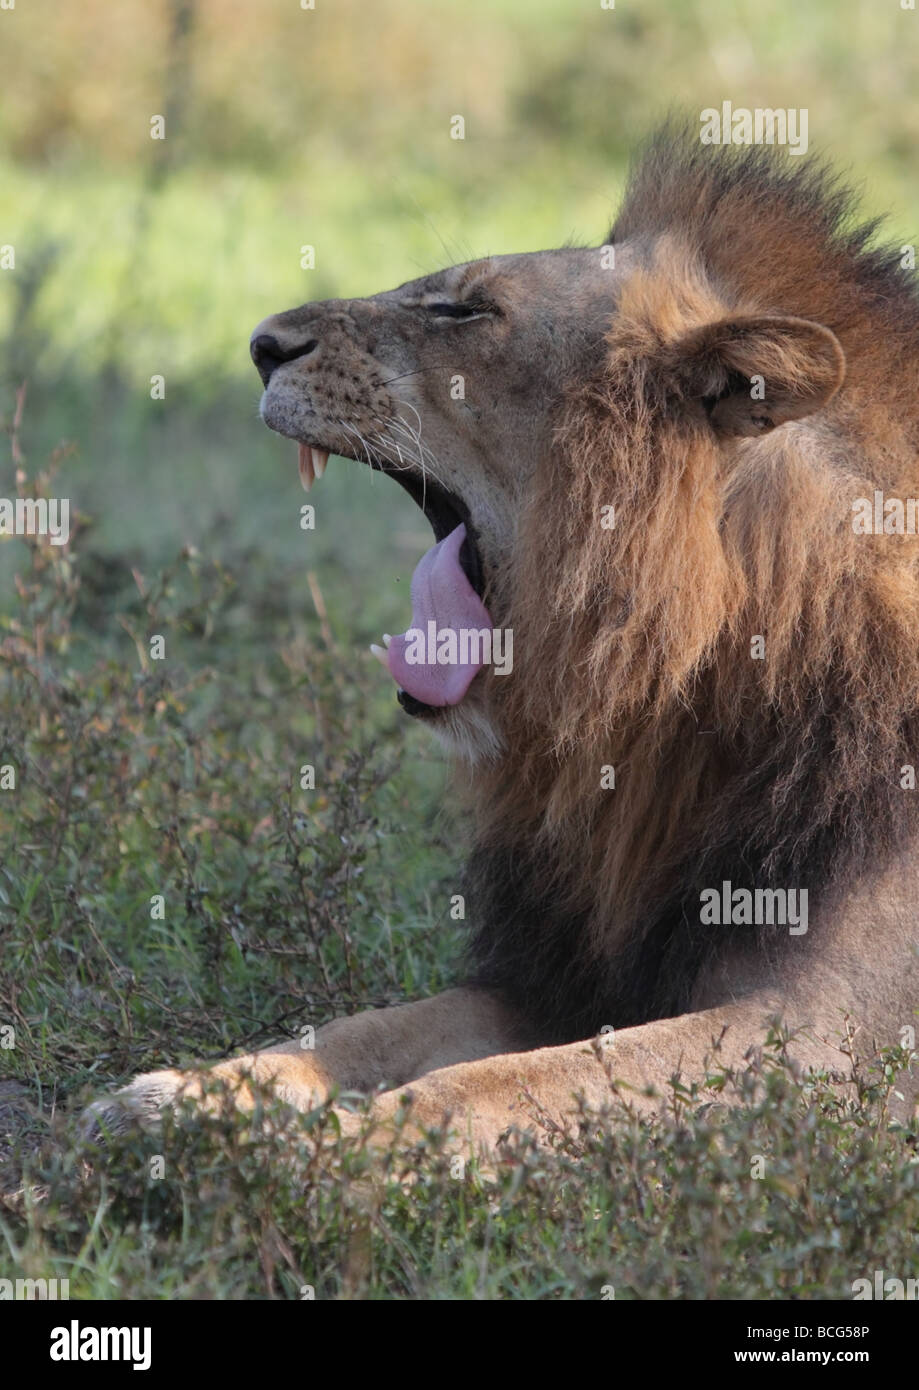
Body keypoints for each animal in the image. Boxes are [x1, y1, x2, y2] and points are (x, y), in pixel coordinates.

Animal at [87, 127, 917, 1150]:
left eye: (464, 309)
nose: (259, 346)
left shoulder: (827, 1036)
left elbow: (494, 1089)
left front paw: (338, 1156)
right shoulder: (547, 981)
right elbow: (363, 1031)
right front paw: (180, 1099)